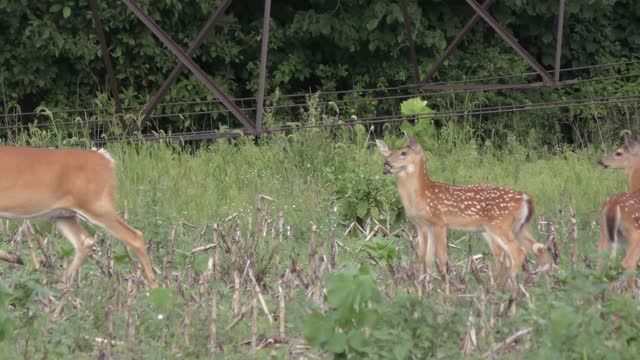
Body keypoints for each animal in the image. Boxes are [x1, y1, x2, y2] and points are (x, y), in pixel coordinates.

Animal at [0, 145, 158, 288]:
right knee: (85, 241)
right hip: (63, 215)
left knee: (134, 236)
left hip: (95, 204)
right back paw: (59, 286)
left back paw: (153, 288)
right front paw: (15, 257)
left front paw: (14, 258)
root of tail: (106, 159)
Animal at [376, 134, 552, 288]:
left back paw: (508, 288)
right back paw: (543, 286)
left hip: (499, 226)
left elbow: (441, 257)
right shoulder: (424, 225)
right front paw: (425, 290)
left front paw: (446, 290)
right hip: (519, 228)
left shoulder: (439, 222)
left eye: (403, 153)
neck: (423, 194)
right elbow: (426, 258)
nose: (386, 164)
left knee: (516, 252)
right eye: (389, 153)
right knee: (539, 248)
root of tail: (526, 198)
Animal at [596, 138, 640, 290]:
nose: (600, 160)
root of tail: (612, 205)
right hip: (635, 234)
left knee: (599, 265)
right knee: (627, 263)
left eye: (618, 153)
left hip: (603, 232)